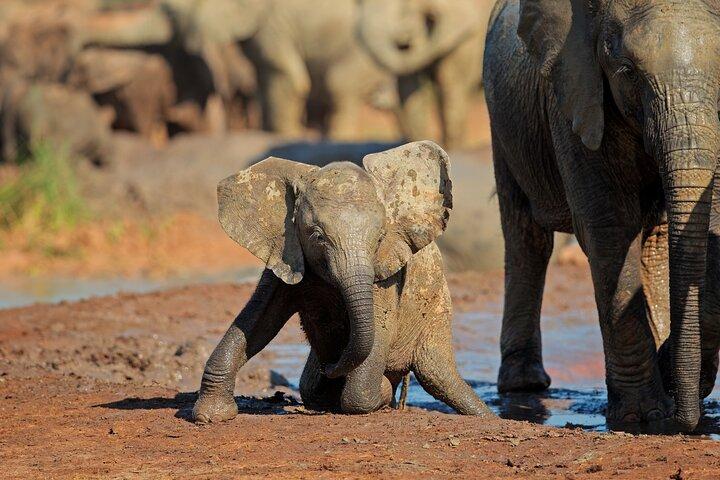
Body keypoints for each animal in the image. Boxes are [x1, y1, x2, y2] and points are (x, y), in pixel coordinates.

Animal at [192, 141, 492, 422]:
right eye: (317, 236)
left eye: (380, 237)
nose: (331, 367)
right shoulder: (286, 252)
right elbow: (257, 320)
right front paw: (211, 416)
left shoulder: (387, 272)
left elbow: (378, 331)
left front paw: (378, 392)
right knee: (311, 387)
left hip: (436, 312)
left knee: (438, 377)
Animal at [484, 0, 720, 431]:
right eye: (626, 71)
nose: (685, 420)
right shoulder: (574, 93)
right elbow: (609, 226)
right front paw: (642, 417)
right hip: (504, 124)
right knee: (526, 236)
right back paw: (525, 385)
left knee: (656, 239)